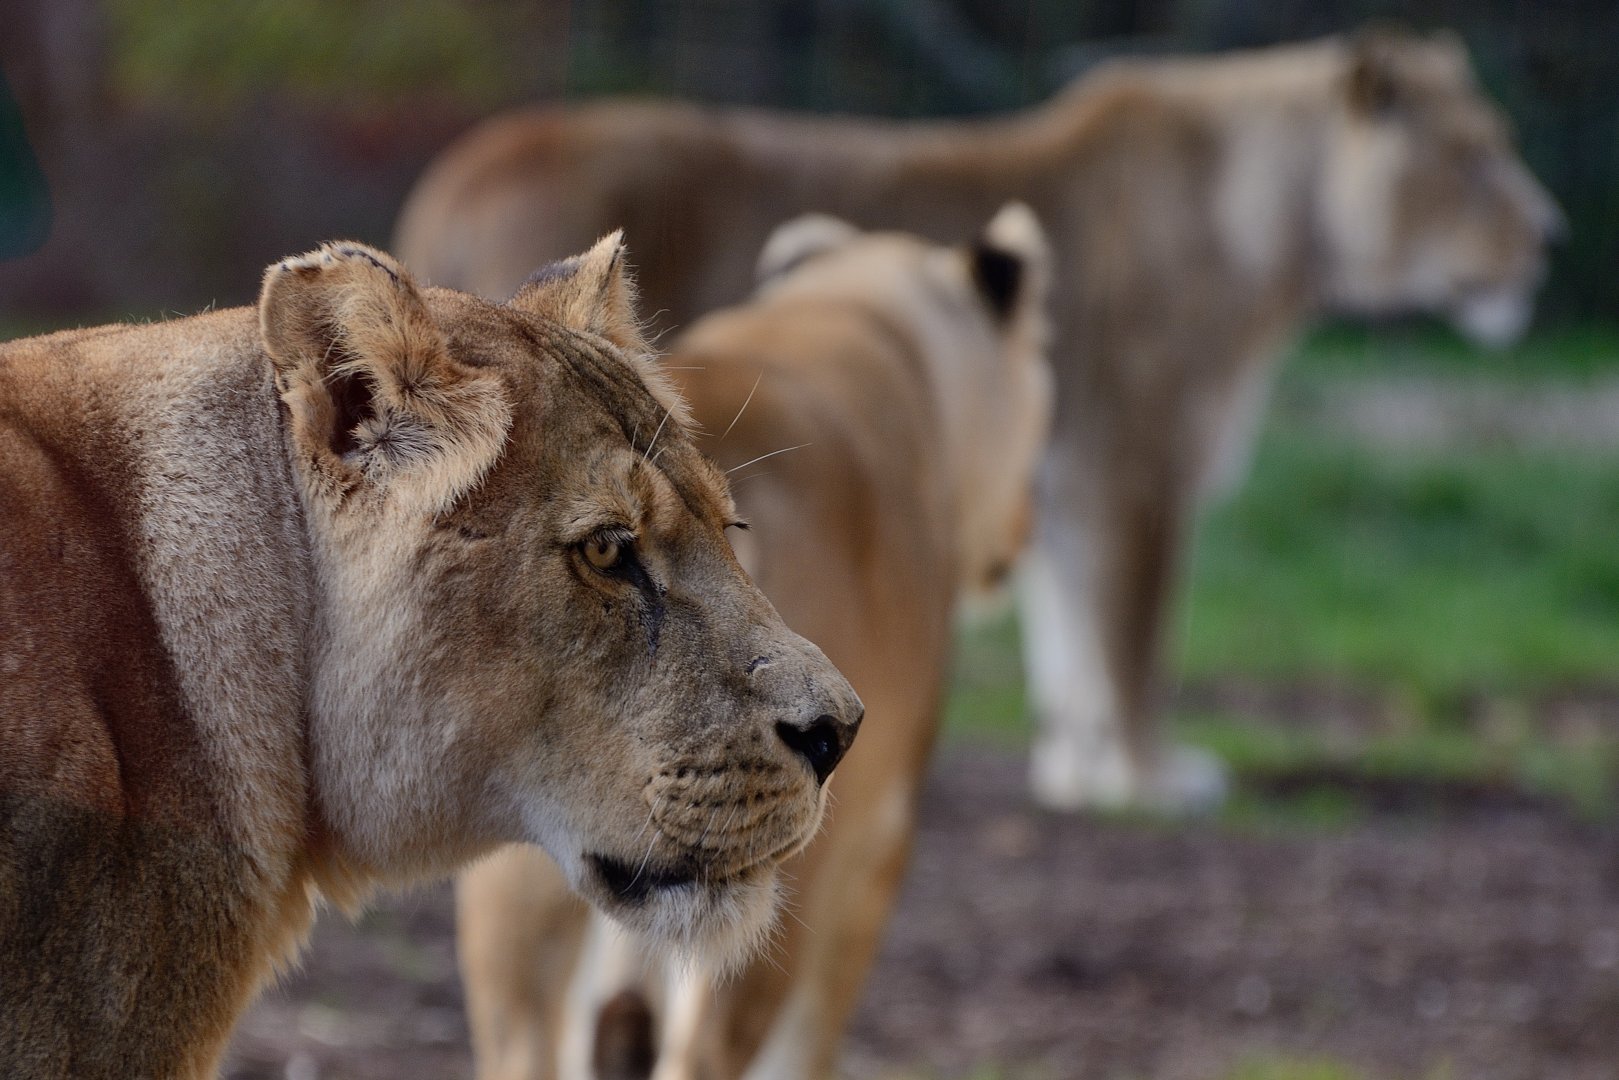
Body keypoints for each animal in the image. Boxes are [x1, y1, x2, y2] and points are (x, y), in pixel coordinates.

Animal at [396, 28, 1561, 813]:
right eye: (1472, 155)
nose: (1551, 235)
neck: (1274, 222)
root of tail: (456, 175)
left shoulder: (1062, 491)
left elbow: (1073, 641)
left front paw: (1081, 773)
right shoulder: (1134, 468)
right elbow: (1136, 637)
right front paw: (1150, 777)